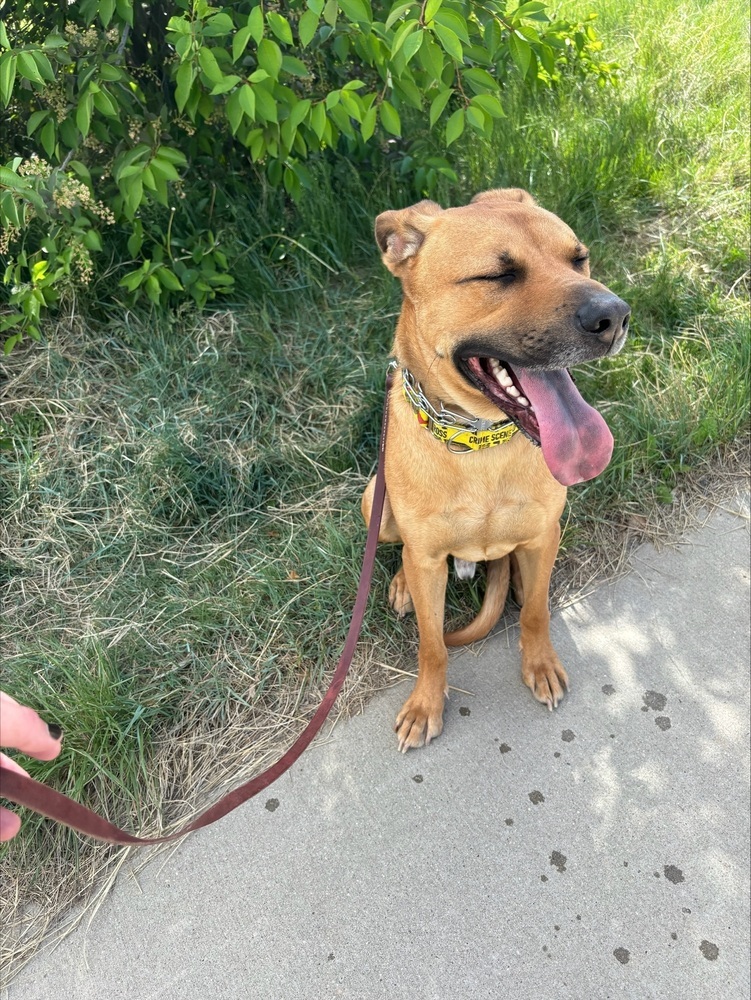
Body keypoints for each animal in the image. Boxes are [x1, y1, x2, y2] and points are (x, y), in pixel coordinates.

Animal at [362, 188, 628, 752]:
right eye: (496, 275)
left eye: (579, 258)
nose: (615, 315)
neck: (479, 442)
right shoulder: (425, 557)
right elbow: (432, 643)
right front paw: (426, 703)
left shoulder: (543, 532)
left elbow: (536, 613)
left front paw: (540, 663)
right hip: (375, 499)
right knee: (401, 552)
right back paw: (401, 584)